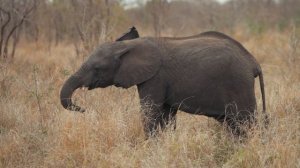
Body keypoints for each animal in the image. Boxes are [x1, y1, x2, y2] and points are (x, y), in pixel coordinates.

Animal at [59, 27, 266, 137]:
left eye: (97, 68)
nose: (83, 109)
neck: (129, 46)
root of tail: (253, 62)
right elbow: (166, 116)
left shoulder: (155, 77)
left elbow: (150, 112)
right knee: (234, 124)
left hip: (239, 84)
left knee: (246, 121)